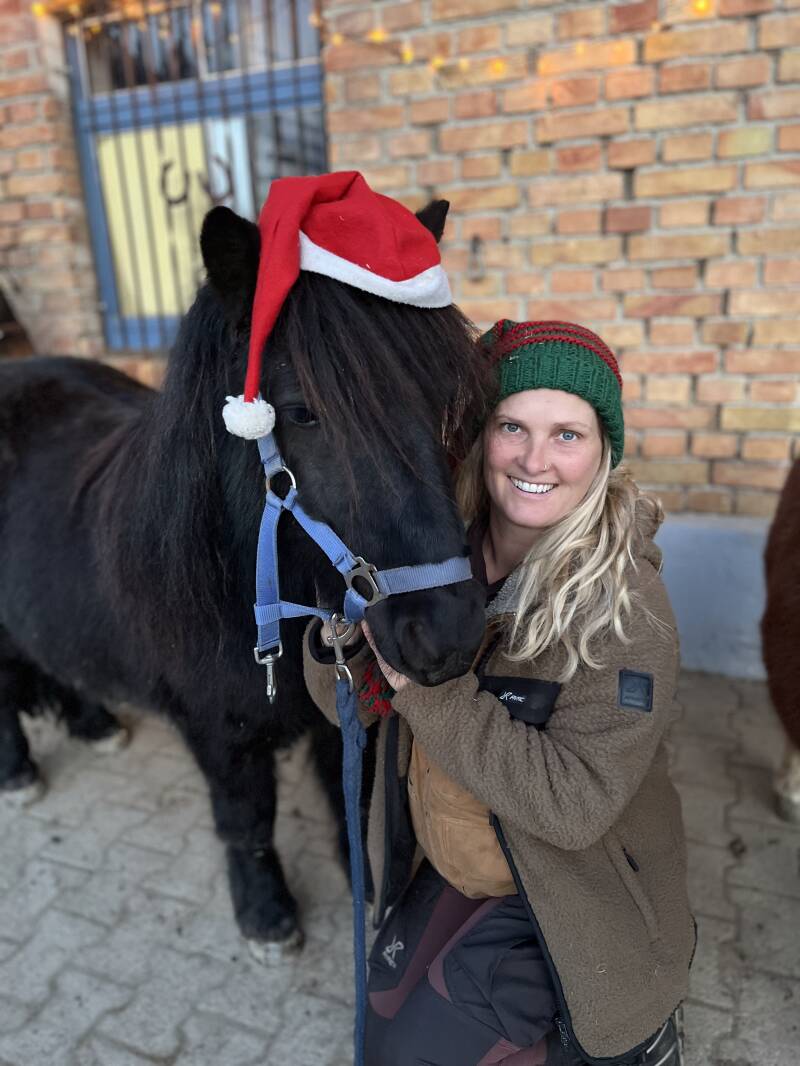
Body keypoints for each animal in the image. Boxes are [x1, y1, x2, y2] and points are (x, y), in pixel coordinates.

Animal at [0, 199, 487, 957]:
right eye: (304, 411)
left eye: (442, 399)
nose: (449, 635)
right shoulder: (216, 729)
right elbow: (247, 818)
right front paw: (266, 914)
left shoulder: (339, 715)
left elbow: (351, 801)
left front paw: (362, 885)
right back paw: (19, 771)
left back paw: (93, 725)